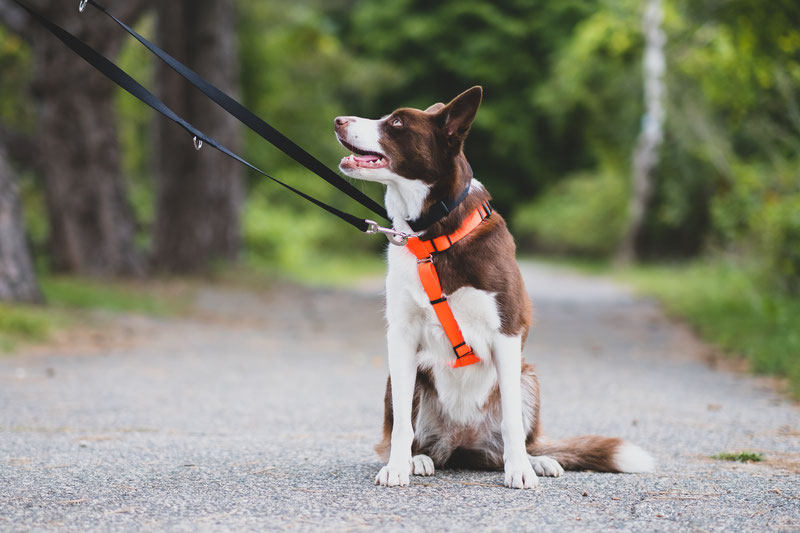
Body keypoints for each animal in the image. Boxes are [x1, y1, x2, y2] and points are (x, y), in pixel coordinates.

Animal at [334, 86, 652, 486]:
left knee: (516, 439)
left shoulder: (507, 334)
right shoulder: (401, 335)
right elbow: (402, 425)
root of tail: (461, 442)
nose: (337, 120)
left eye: (396, 122)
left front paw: (520, 472)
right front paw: (396, 467)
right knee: (411, 434)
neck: (435, 237)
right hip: (407, 380)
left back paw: (536, 461)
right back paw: (418, 459)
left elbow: (512, 422)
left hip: (527, 376)